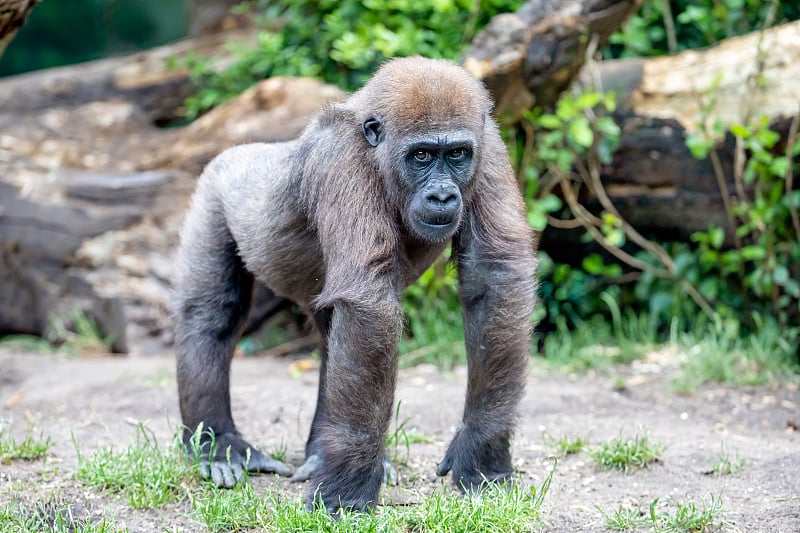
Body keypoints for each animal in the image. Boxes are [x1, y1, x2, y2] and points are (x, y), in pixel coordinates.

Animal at [175, 55, 536, 512]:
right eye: (421, 155)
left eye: (456, 154)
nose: (442, 196)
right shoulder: (340, 157)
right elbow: (369, 307)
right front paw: (347, 493)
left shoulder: (488, 145)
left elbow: (494, 279)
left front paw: (481, 453)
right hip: (213, 190)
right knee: (211, 318)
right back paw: (218, 445)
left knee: (333, 337)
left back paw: (319, 454)